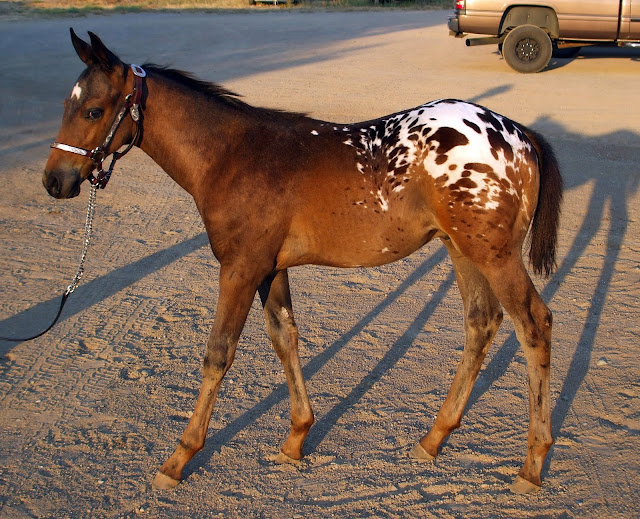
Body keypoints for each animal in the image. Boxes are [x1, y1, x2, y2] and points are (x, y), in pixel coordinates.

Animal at [43, 29, 563, 494]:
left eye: (93, 111)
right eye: (65, 105)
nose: (55, 180)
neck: (231, 156)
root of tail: (521, 134)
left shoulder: (240, 267)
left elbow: (218, 354)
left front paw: (178, 459)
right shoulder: (270, 268)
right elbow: (285, 338)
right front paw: (295, 439)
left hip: (493, 255)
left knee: (533, 325)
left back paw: (532, 466)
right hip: (462, 250)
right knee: (482, 322)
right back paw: (433, 439)